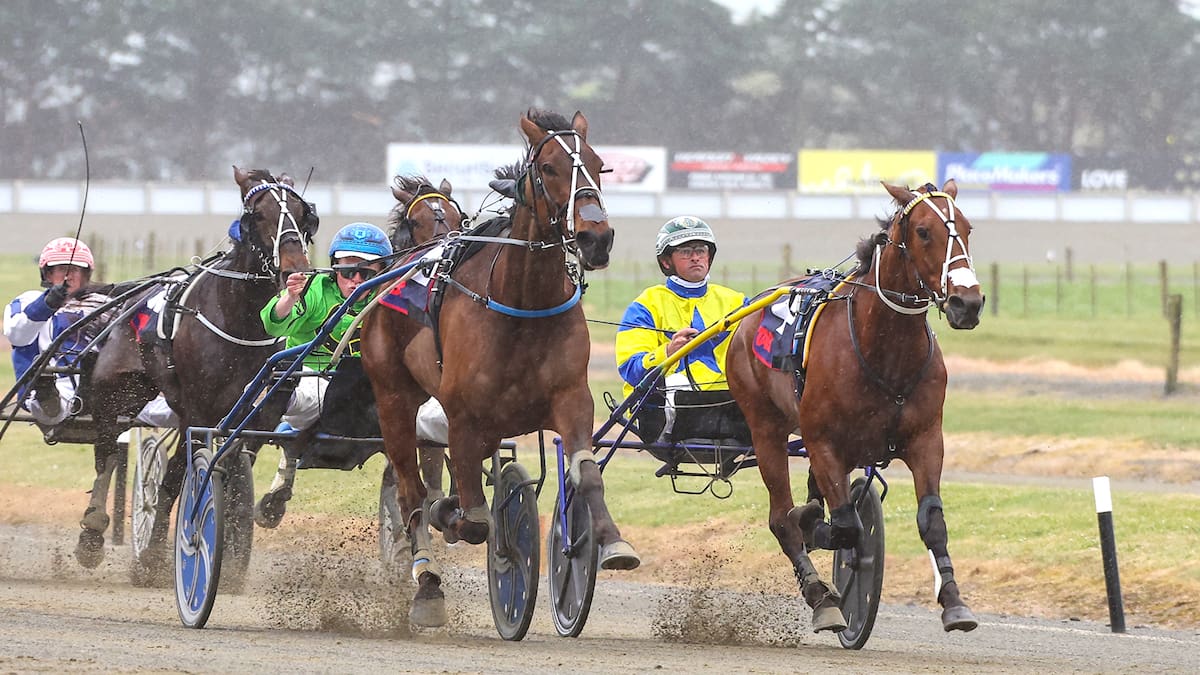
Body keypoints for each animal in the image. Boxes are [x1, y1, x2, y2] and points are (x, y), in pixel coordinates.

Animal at [76, 166, 315, 577]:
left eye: (302, 214)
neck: (241, 319)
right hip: (118, 390)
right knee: (107, 452)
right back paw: (95, 534)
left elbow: (232, 471)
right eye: (258, 214)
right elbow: (181, 474)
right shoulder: (200, 409)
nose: (294, 270)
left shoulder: (258, 414)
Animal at [359, 109, 635, 627]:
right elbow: (473, 520)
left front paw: (611, 542)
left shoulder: (571, 398)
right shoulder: (465, 416)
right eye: (548, 168)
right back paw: (427, 581)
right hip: (393, 398)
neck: (522, 304)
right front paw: (459, 521)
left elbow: (586, 472)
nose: (596, 237)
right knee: (410, 492)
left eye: (599, 165)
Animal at [725, 179, 984, 634]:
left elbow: (932, 521)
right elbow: (845, 526)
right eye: (923, 231)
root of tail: (747, 315)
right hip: (765, 427)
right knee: (780, 518)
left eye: (968, 228)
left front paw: (954, 602)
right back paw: (820, 594)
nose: (966, 303)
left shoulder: (925, 439)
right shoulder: (824, 442)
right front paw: (818, 530)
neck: (884, 350)